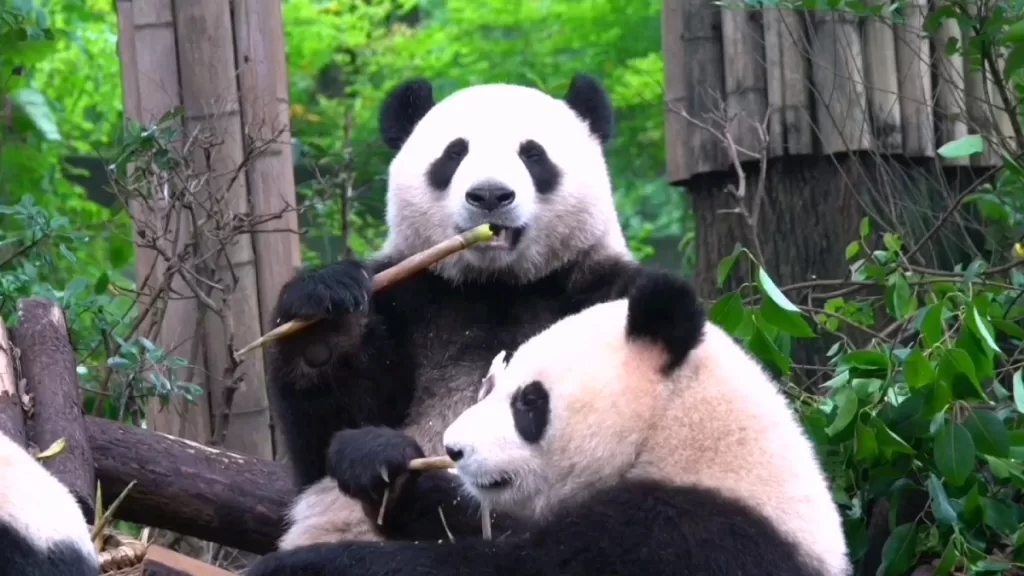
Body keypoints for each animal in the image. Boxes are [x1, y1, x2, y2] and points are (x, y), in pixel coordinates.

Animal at [246, 270, 852, 576]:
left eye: (528, 401)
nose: (454, 449)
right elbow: (482, 527)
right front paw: (376, 460)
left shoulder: (693, 534)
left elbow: (517, 568)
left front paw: (299, 569)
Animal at [268, 72, 673, 548]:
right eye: (454, 153)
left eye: (533, 154)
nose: (490, 195)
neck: (497, 286)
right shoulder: (412, 298)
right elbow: (327, 438)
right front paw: (326, 323)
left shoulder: (601, 290)